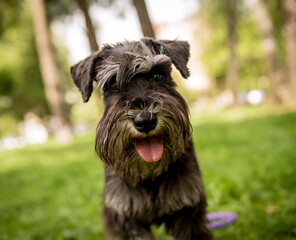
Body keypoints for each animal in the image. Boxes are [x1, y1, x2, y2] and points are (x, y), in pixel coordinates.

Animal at [71, 38, 210, 239]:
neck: (149, 174)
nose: (145, 121)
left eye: (158, 76)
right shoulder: (126, 215)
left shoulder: (188, 208)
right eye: (113, 84)